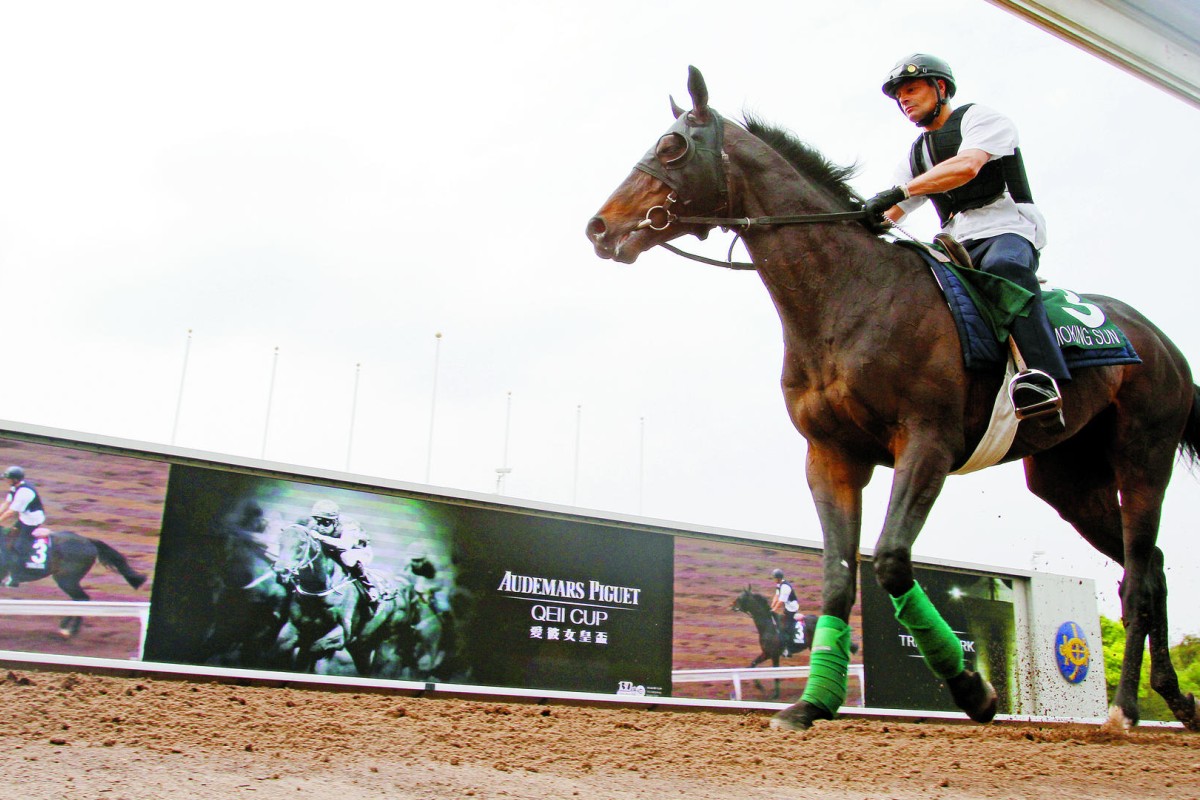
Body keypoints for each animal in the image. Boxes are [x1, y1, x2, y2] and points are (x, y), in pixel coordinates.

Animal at [0, 525, 146, 638]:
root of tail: (88, 541)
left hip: (67, 580)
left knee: (82, 599)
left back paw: (70, 630)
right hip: (69, 581)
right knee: (78, 600)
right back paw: (66, 627)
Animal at [590, 68, 1200, 734]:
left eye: (672, 147)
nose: (599, 227)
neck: (849, 296)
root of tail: (1160, 341)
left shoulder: (927, 442)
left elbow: (888, 559)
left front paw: (973, 690)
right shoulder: (830, 456)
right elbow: (838, 578)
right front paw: (812, 702)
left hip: (1142, 456)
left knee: (1138, 576)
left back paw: (1125, 709)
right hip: (1068, 481)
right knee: (1154, 566)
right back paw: (1177, 701)